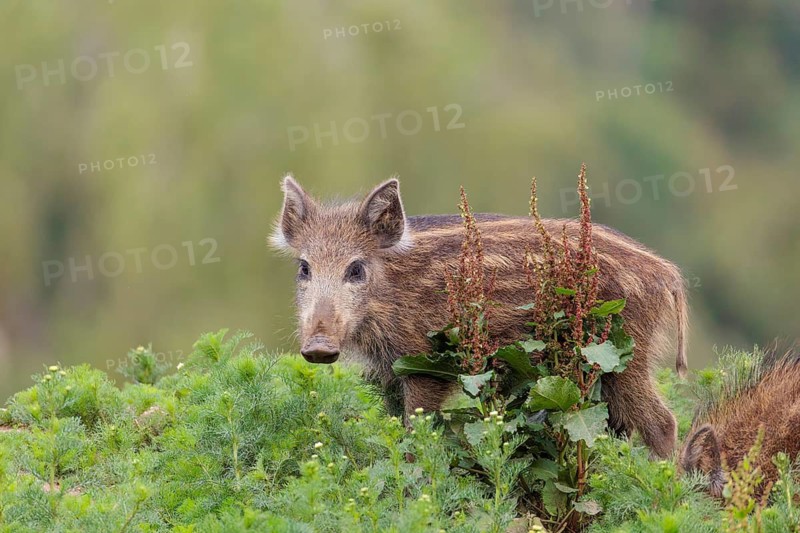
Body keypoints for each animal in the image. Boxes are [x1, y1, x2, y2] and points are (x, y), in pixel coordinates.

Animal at [270, 176, 688, 458]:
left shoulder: (424, 363)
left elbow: (417, 432)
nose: (318, 346)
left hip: (623, 352)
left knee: (661, 422)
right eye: (304, 268)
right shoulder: (388, 374)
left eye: (356, 269)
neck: (393, 293)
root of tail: (667, 275)